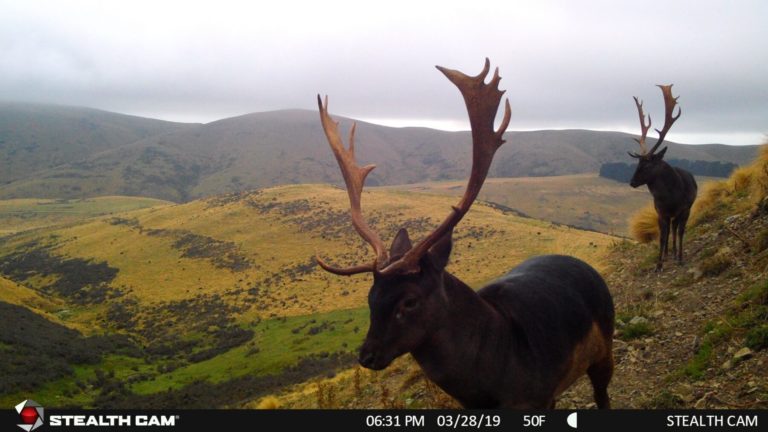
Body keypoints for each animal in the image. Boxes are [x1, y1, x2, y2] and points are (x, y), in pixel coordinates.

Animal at [314, 59, 615, 409]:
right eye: (371, 296)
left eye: (410, 301)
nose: (367, 356)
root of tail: (586, 266)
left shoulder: (541, 398)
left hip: (605, 347)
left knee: (603, 394)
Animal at [627, 85, 698, 272]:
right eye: (637, 163)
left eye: (647, 165)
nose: (632, 182)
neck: (671, 197)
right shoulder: (660, 211)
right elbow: (661, 236)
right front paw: (658, 264)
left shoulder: (685, 209)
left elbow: (681, 232)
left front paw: (680, 258)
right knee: (668, 231)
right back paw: (666, 254)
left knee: (675, 229)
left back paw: (673, 253)